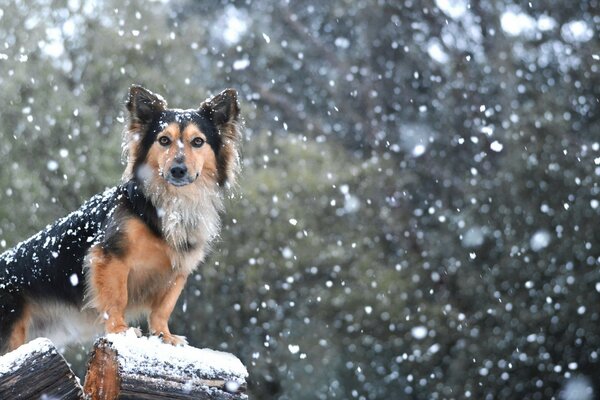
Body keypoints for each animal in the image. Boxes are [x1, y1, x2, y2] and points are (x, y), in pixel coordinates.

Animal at [0, 85, 239, 354]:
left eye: (198, 142)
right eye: (164, 140)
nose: (178, 170)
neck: (170, 203)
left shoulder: (178, 271)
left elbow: (163, 308)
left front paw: (165, 335)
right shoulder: (109, 256)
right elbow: (117, 297)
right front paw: (120, 329)